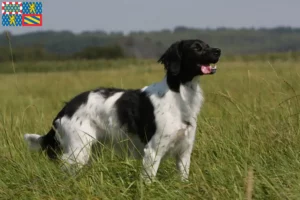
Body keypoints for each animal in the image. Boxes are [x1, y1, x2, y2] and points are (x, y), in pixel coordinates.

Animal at [24, 38, 220, 181]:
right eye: (197, 47)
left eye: (207, 45)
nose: (218, 51)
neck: (178, 94)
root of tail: (66, 108)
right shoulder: (153, 151)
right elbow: (148, 180)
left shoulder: (184, 152)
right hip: (78, 150)